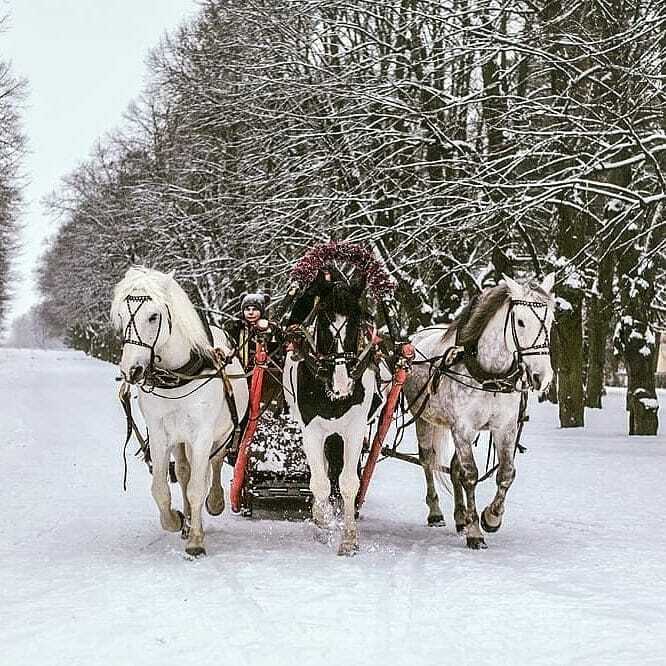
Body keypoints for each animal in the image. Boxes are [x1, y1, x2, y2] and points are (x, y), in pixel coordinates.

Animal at [110, 266, 248, 556]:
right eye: (121, 316)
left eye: (153, 316)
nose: (131, 370)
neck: (178, 377)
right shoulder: (160, 435)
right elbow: (161, 488)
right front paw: (175, 520)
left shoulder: (203, 435)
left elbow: (198, 487)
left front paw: (196, 540)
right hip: (180, 441)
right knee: (184, 472)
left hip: (220, 434)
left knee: (211, 468)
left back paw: (214, 503)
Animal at [404, 272, 556, 548]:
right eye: (520, 321)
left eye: (550, 320)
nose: (542, 377)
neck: (490, 376)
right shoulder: (463, 429)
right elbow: (470, 475)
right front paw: (475, 530)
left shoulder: (505, 428)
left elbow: (506, 473)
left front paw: (491, 517)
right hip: (424, 419)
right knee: (428, 460)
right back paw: (436, 512)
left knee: (453, 468)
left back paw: (460, 516)